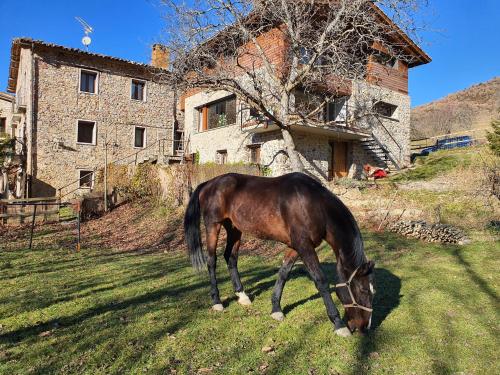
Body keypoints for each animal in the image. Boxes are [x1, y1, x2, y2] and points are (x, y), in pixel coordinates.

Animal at [184, 172, 376, 336]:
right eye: (364, 290)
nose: (365, 327)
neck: (314, 205)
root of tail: (209, 183)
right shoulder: (304, 246)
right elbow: (320, 281)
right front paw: (338, 324)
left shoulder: (295, 246)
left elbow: (283, 274)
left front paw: (276, 309)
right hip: (213, 226)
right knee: (212, 261)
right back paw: (217, 302)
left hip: (234, 228)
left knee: (231, 258)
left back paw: (242, 295)